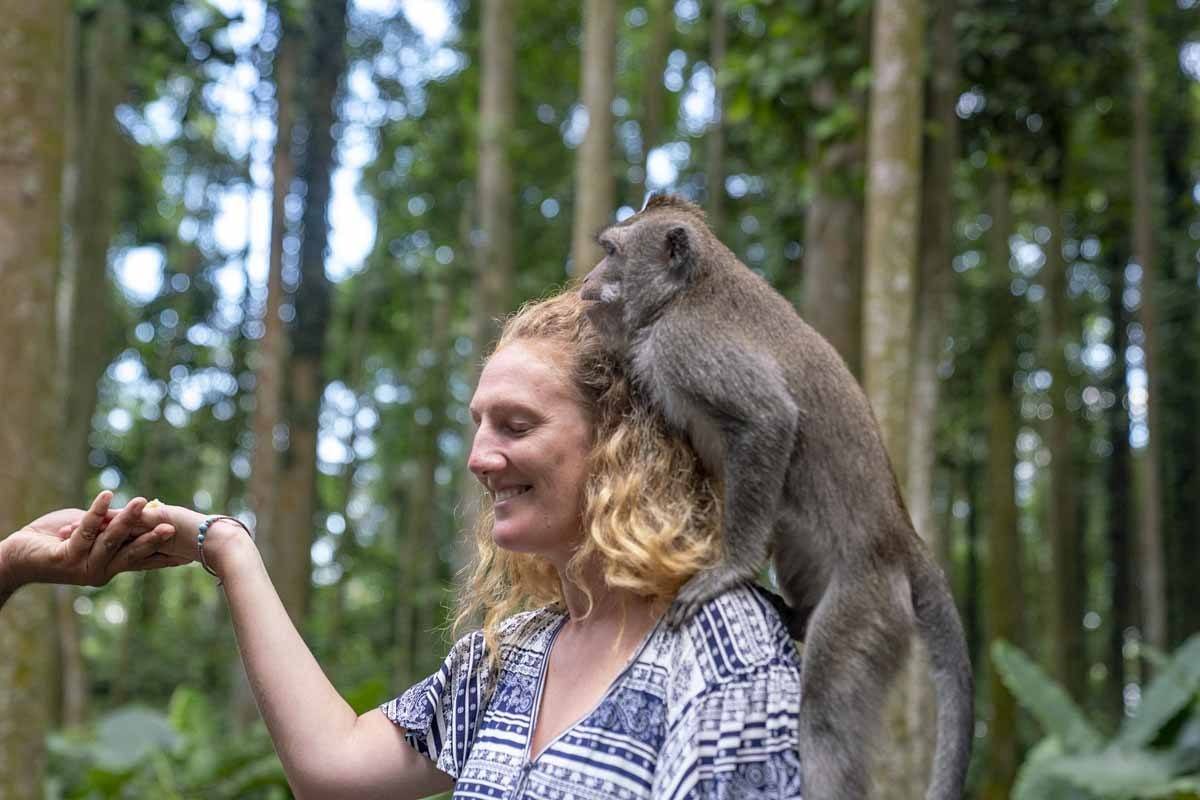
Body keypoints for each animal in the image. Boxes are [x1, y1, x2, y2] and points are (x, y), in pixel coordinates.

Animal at [578, 194, 974, 800]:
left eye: (611, 252)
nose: (587, 282)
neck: (685, 292)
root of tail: (901, 536)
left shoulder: (684, 344)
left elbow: (769, 420)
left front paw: (730, 569)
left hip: (867, 605)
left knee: (826, 718)